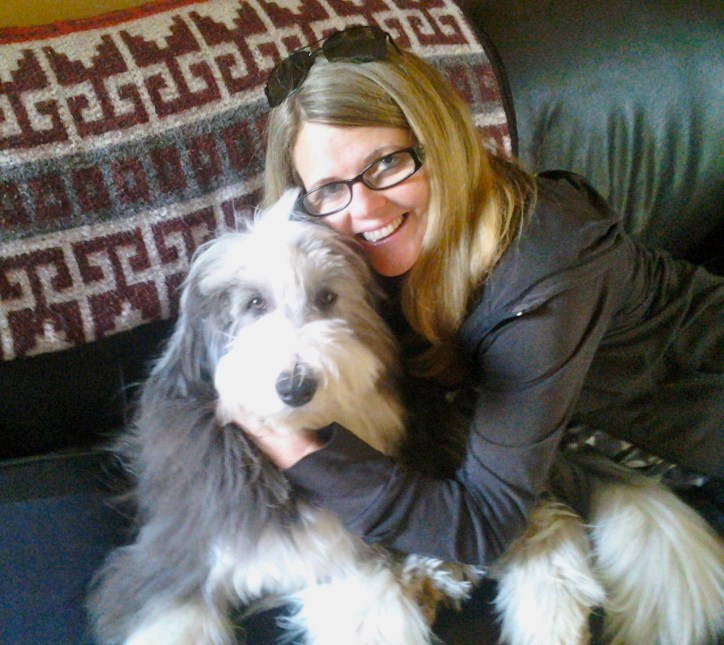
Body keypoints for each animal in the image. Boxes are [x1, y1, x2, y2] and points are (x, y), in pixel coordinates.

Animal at [88, 190, 723, 645]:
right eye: (253, 305)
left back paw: (545, 621)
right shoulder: (169, 564)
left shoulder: (351, 556)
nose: (296, 385)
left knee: (540, 522)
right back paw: (433, 575)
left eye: (326, 298)